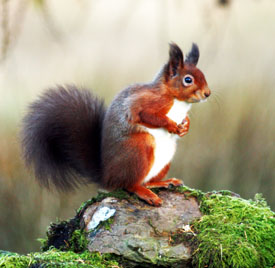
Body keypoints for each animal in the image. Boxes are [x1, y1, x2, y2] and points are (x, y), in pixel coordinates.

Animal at [21, 43, 211, 205]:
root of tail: (107, 178)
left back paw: (163, 182)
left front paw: (185, 126)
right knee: (130, 184)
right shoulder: (143, 104)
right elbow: (147, 115)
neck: (177, 101)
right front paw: (171, 125)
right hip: (139, 149)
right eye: (188, 80)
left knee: (145, 181)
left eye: (203, 75)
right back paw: (146, 194)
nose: (208, 93)